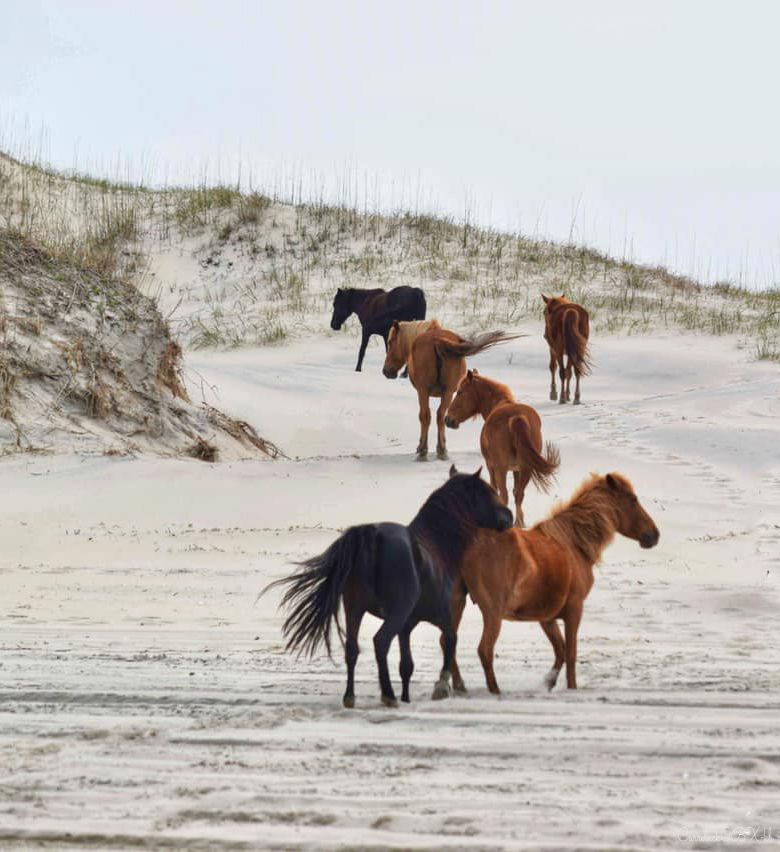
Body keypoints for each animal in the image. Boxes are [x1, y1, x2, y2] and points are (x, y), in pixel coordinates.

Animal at [263, 466, 513, 709]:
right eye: (488, 491)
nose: (509, 516)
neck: (437, 547)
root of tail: (372, 535)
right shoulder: (441, 615)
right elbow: (450, 642)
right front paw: (440, 688)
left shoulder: (407, 626)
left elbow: (406, 666)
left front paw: (407, 697)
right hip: (393, 613)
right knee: (380, 642)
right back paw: (388, 695)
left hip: (354, 609)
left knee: (352, 649)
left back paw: (350, 697)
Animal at [383, 320, 518, 461]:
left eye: (390, 342)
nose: (386, 371)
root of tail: (436, 340)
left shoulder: (425, 391)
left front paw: (421, 447)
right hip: (446, 392)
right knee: (440, 415)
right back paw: (441, 450)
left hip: (425, 391)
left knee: (426, 415)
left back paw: (425, 450)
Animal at [444, 369, 560, 527]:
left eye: (460, 392)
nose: (447, 419)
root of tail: (517, 418)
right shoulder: (516, 470)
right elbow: (516, 492)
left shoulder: (491, 467)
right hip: (526, 469)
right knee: (519, 494)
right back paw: (518, 524)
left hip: (501, 470)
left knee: (504, 495)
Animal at [448, 472, 659, 694]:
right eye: (633, 500)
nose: (654, 535)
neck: (574, 543)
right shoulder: (574, 610)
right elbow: (571, 653)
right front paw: (571, 687)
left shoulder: (547, 618)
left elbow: (561, 651)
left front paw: (548, 682)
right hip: (492, 613)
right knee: (485, 650)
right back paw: (494, 691)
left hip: (458, 605)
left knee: (448, 643)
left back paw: (457, 687)